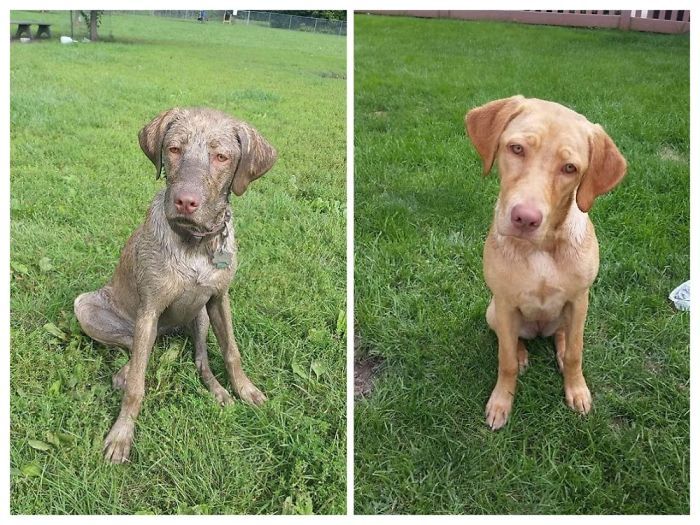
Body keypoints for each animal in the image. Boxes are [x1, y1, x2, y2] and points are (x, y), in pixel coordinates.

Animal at [74, 108, 276, 460]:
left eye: (221, 157)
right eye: (174, 149)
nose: (185, 202)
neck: (195, 243)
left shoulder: (219, 298)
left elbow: (231, 351)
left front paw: (245, 390)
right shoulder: (150, 309)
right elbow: (137, 386)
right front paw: (121, 435)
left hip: (201, 316)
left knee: (200, 360)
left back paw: (219, 391)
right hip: (88, 307)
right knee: (134, 348)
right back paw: (126, 370)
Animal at [468, 95, 628, 430]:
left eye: (570, 168)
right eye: (516, 148)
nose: (525, 218)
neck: (540, 248)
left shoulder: (580, 299)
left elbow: (577, 354)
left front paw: (577, 390)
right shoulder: (504, 303)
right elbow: (505, 361)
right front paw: (501, 402)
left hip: (572, 314)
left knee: (563, 336)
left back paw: (561, 348)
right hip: (494, 311)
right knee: (511, 340)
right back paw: (522, 353)